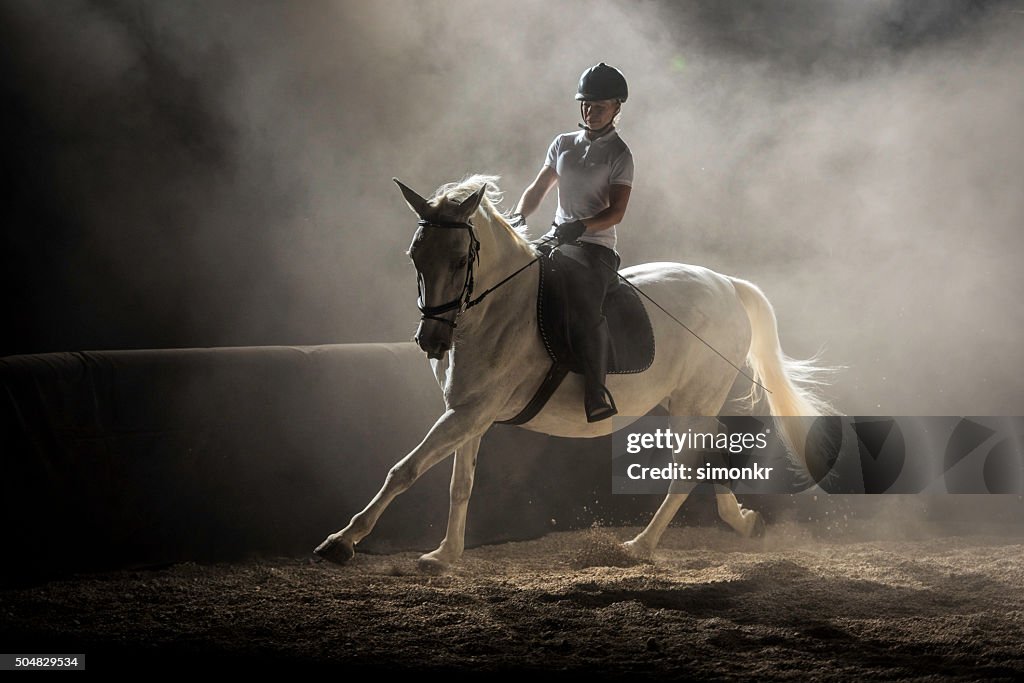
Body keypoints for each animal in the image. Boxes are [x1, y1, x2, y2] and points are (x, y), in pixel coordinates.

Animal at [315, 174, 836, 572]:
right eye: (414, 257)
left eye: (461, 260)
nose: (432, 342)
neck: (497, 311)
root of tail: (726, 283)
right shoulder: (470, 414)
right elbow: (459, 485)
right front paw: (445, 555)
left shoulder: (470, 412)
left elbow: (404, 470)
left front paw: (341, 542)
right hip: (686, 402)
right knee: (714, 450)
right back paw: (744, 521)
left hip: (694, 400)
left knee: (689, 466)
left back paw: (639, 547)